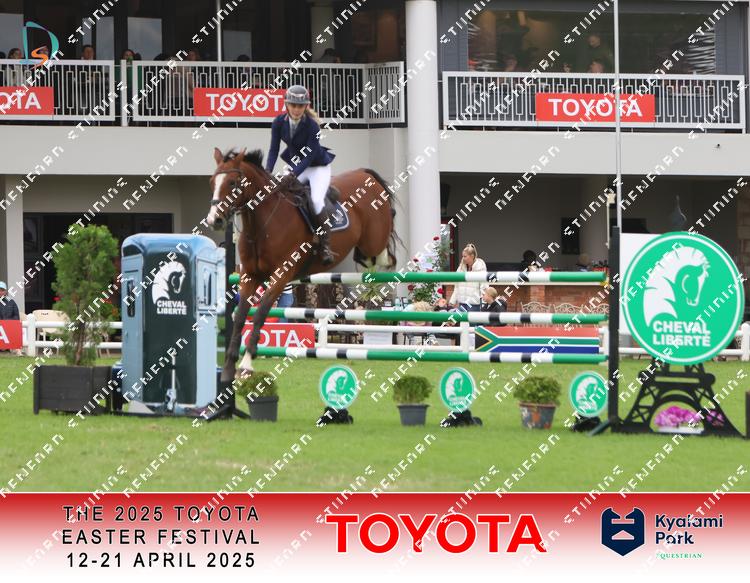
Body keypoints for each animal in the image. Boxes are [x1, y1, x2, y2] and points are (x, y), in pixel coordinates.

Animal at [205, 147, 397, 381]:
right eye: (212, 182)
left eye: (233, 183)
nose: (214, 220)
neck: (262, 225)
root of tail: (365, 174)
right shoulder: (249, 276)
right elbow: (241, 316)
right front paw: (228, 369)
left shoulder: (281, 276)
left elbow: (259, 314)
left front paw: (247, 364)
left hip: (373, 240)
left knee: (383, 252)